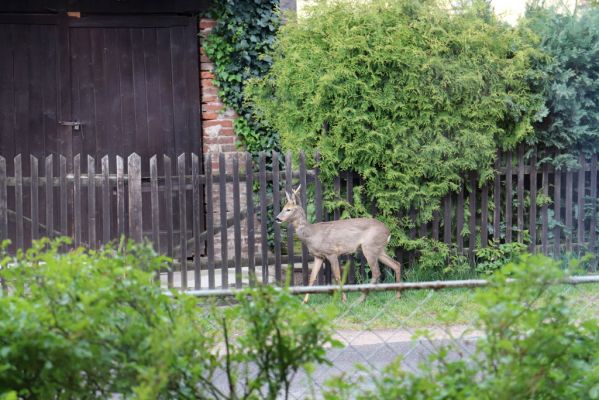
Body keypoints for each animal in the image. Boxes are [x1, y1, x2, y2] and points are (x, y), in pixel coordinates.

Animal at [276, 186, 404, 302]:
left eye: (288, 209)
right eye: (283, 208)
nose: (277, 218)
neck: (312, 235)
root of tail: (388, 231)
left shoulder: (331, 252)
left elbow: (337, 277)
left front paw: (344, 299)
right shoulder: (318, 256)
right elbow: (312, 278)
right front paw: (304, 301)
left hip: (369, 247)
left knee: (376, 273)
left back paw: (360, 299)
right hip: (379, 249)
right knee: (396, 264)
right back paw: (398, 296)